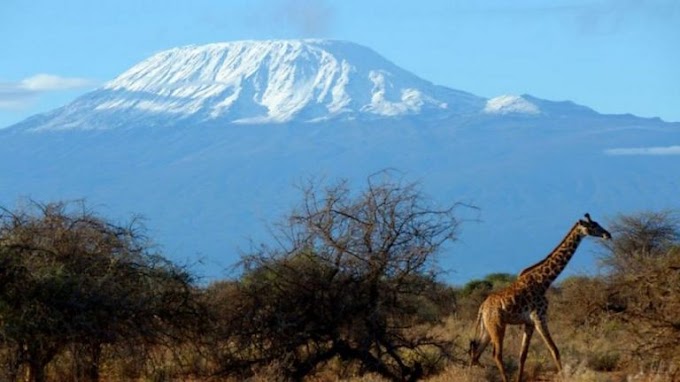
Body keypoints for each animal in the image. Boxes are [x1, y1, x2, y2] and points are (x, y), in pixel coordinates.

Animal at [468, 213, 612, 380]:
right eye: (593, 226)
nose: (608, 234)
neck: (544, 282)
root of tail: (482, 307)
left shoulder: (529, 323)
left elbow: (522, 355)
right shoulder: (540, 317)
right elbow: (554, 350)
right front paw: (563, 377)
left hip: (487, 328)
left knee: (476, 354)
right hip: (497, 325)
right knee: (495, 355)